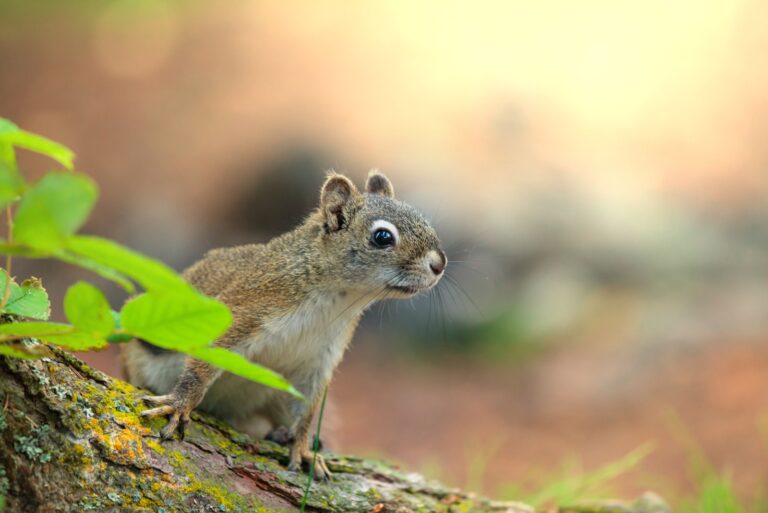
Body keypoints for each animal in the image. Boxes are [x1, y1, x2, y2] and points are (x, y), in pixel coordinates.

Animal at [121, 170, 446, 480]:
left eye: (421, 218)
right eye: (382, 237)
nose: (439, 264)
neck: (333, 302)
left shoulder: (318, 360)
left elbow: (307, 411)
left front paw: (302, 450)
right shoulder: (245, 311)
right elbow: (202, 366)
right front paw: (179, 405)